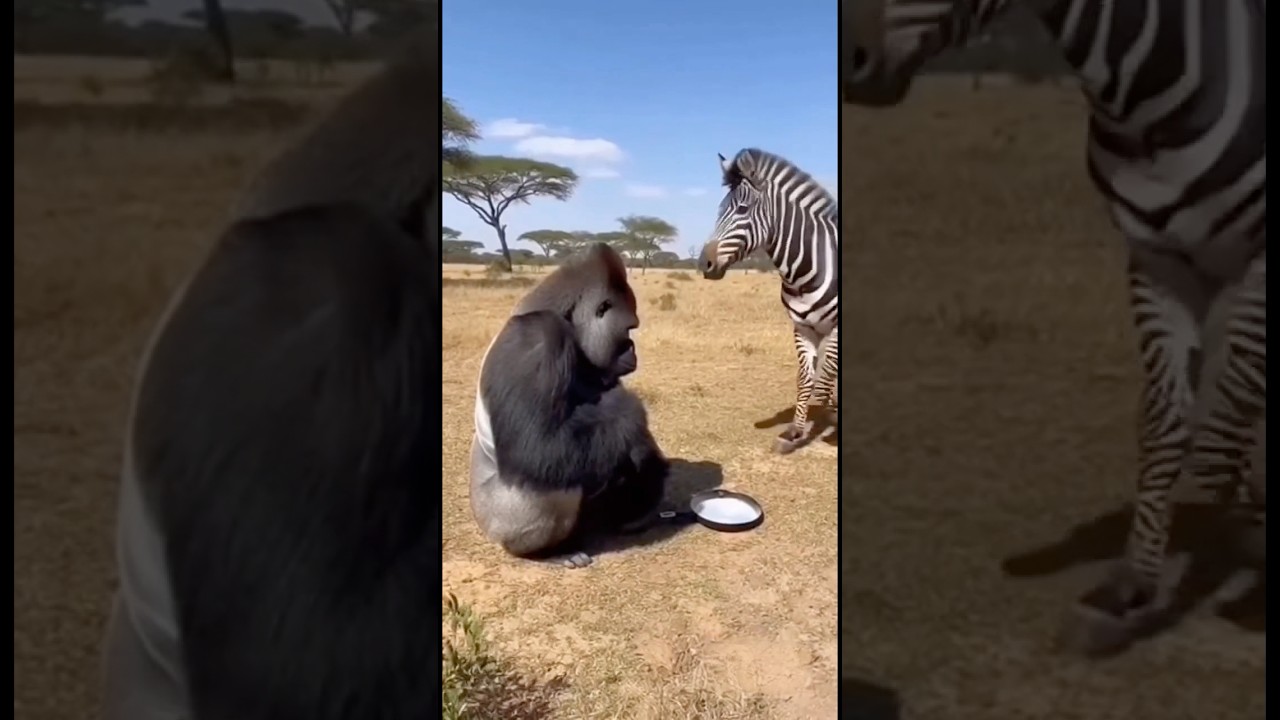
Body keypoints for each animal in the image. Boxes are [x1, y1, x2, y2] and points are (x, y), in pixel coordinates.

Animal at [470, 243, 670, 568]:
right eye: (629, 329)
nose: (633, 350)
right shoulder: (537, 338)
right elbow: (538, 448)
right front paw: (627, 409)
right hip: (498, 524)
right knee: (553, 483)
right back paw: (548, 553)